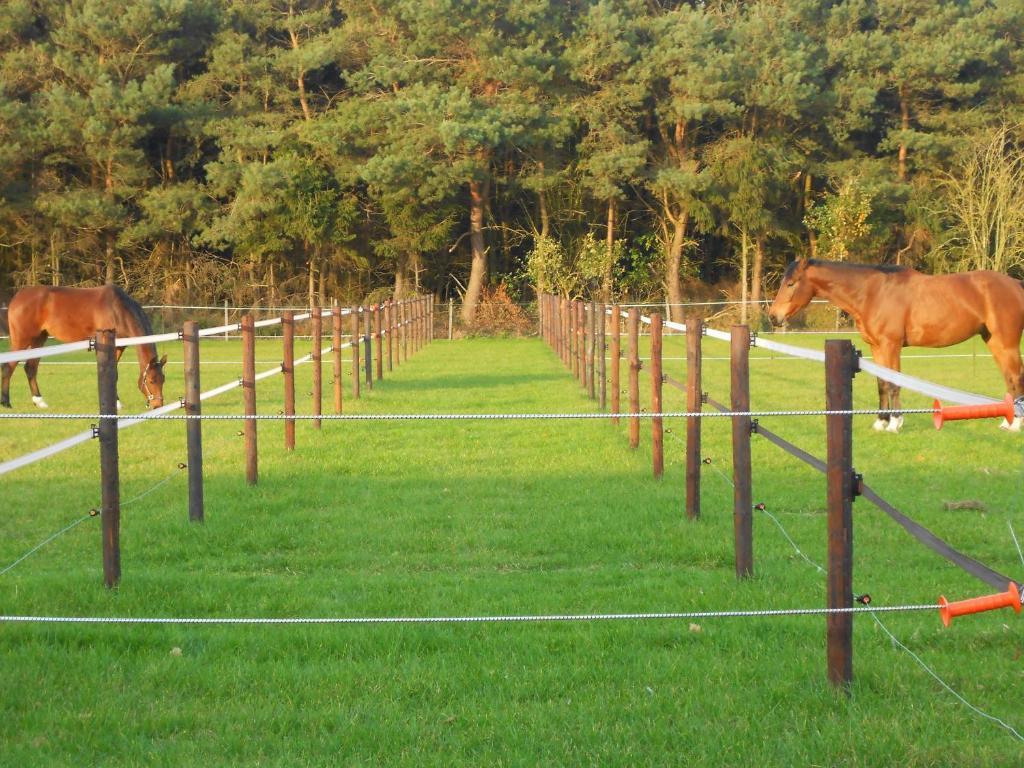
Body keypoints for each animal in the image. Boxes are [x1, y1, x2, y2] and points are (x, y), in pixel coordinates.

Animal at [1, 286, 165, 409]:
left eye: (163, 380)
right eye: (151, 381)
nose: (158, 405)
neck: (117, 310)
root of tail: (18, 297)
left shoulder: (118, 347)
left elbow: (114, 374)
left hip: (39, 339)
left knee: (30, 368)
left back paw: (40, 402)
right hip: (21, 339)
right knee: (9, 367)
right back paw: (6, 403)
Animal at [770, 260, 1024, 434]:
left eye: (790, 284)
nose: (773, 316)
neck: (871, 293)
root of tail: (1016, 285)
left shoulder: (890, 345)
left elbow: (893, 383)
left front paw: (895, 422)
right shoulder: (877, 347)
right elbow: (882, 383)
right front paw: (881, 421)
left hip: (1006, 343)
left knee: (1016, 377)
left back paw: (1014, 425)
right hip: (994, 342)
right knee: (1010, 379)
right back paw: (1007, 421)